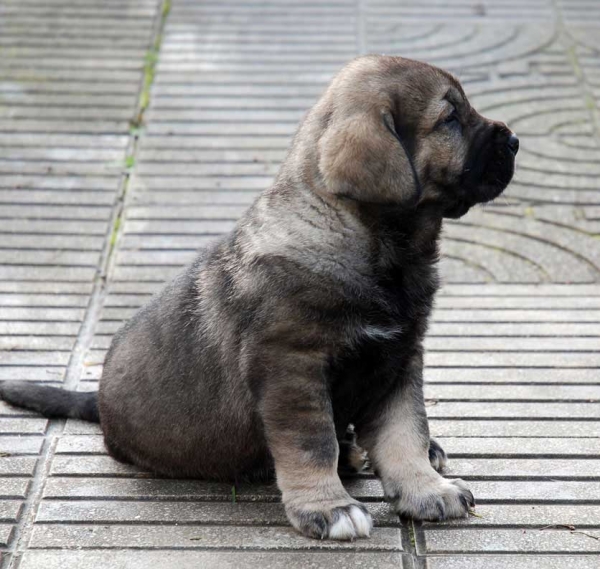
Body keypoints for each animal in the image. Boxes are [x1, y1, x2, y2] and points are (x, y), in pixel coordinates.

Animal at [0, 56, 516, 540]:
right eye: (450, 117)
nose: (513, 141)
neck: (371, 243)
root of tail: (101, 407)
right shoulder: (293, 367)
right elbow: (315, 444)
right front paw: (329, 507)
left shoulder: (399, 356)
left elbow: (405, 430)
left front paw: (426, 489)